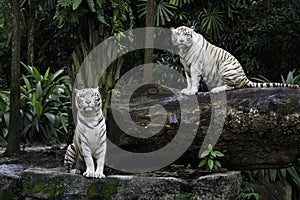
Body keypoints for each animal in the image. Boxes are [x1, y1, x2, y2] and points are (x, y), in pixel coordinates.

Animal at [170, 25, 298, 94]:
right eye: (178, 34)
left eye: (186, 35)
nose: (181, 40)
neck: (184, 51)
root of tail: (245, 78)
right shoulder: (186, 67)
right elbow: (189, 80)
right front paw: (187, 90)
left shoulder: (195, 66)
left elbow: (194, 80)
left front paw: (192, 92)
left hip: (225, 68)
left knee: (232, 86)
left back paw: (215, 90)